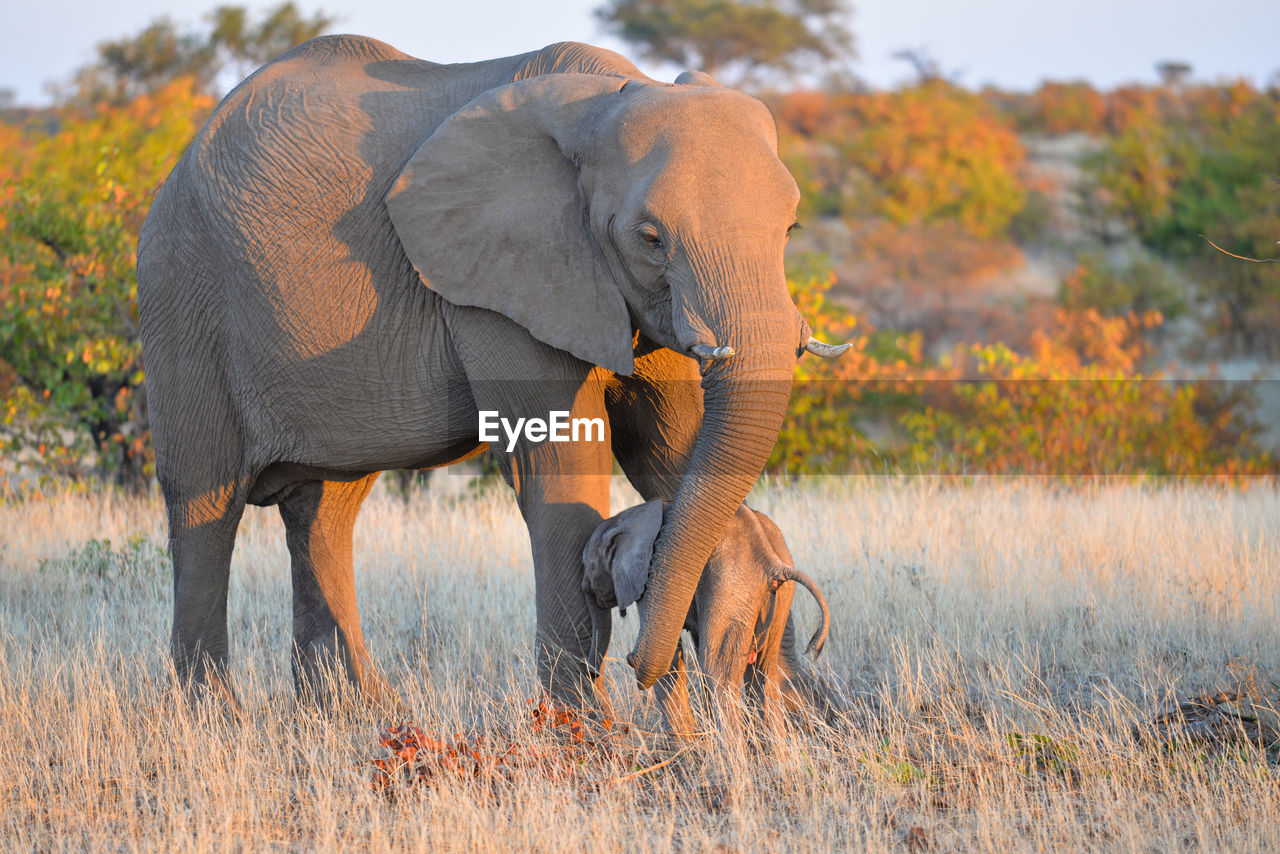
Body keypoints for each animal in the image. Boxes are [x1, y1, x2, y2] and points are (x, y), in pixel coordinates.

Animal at [140, 35, 844, 706]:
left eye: (790, 229)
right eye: (650, 239)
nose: (638, 663)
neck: (606, 97)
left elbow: (670, 447)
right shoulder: (498, 279)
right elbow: (558, 465)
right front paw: (583, 736)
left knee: (325, 510)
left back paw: (354, 717)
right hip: (184, 298)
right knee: (205, 507)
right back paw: (213, 718)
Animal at [583, 501, 839, 737]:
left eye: (588, 566)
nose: (593, 672)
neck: (629, 517)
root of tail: (772, 562)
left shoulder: (650, 582)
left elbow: (669, 659)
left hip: (731, 588)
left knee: (718, 671)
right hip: (781, 596)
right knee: (763, 673)